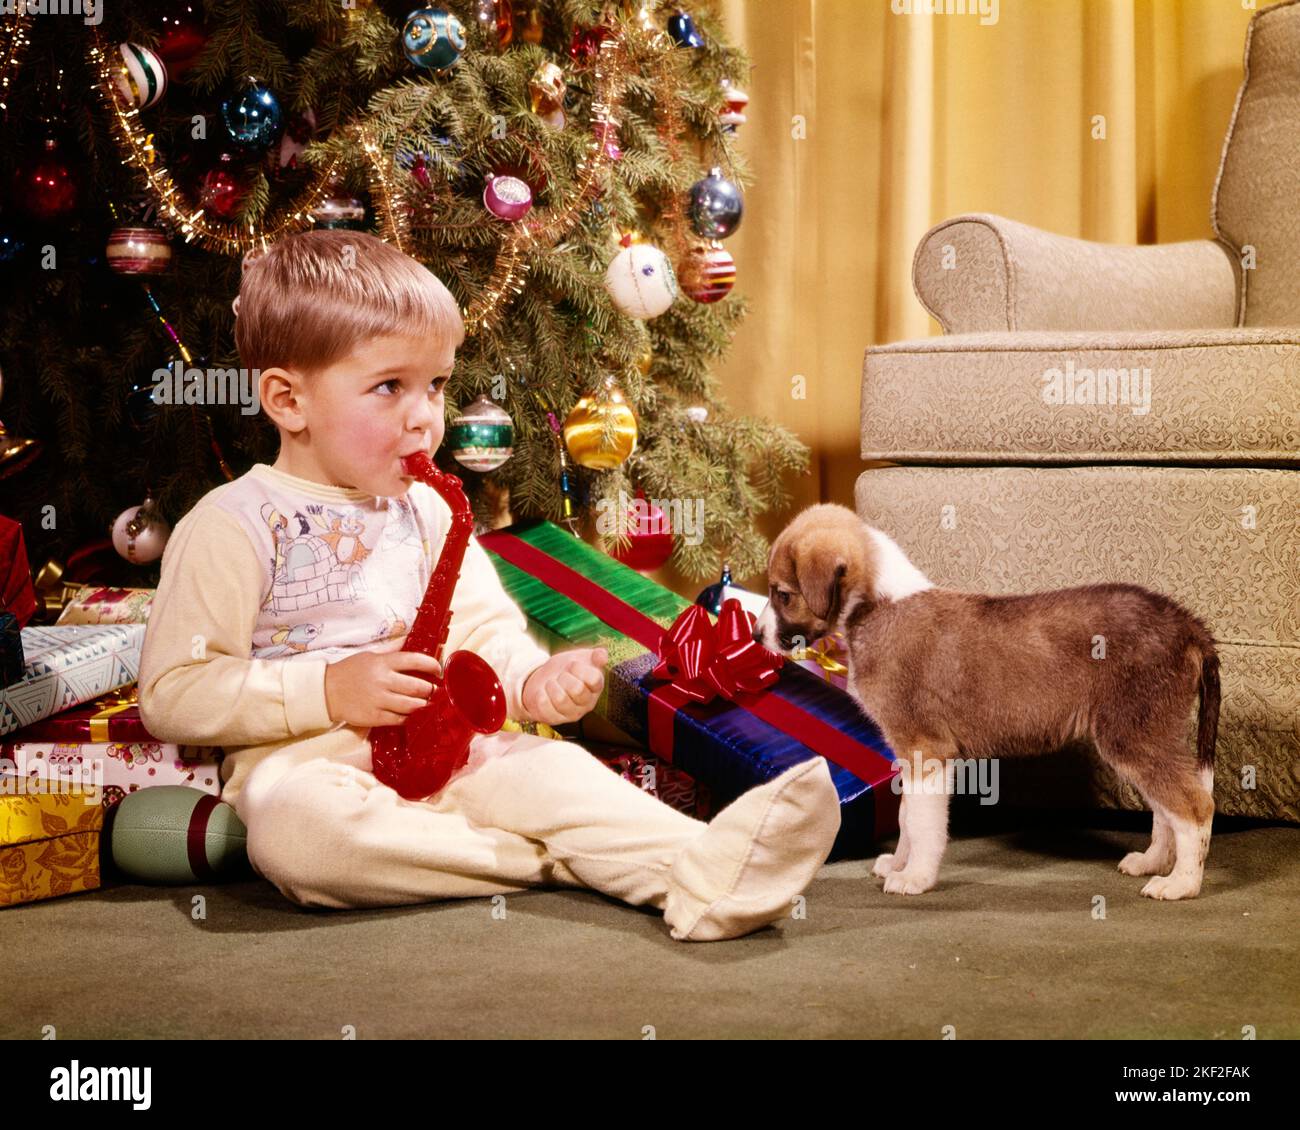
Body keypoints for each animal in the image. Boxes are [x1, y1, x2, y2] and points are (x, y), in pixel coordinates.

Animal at [754, 501, 1216, 899]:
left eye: (783, 594)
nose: (756, 636)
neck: (880, 605)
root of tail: (1188, 623)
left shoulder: (926, 749)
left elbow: (921, 824)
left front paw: (915, 878)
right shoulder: (909, 753)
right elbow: (905, 817)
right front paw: (898, 865)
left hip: (1133, 732)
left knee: (1193, 806)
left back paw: (1182, 884)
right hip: (1144, 735)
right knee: (1165, 807)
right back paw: (1153, 862)